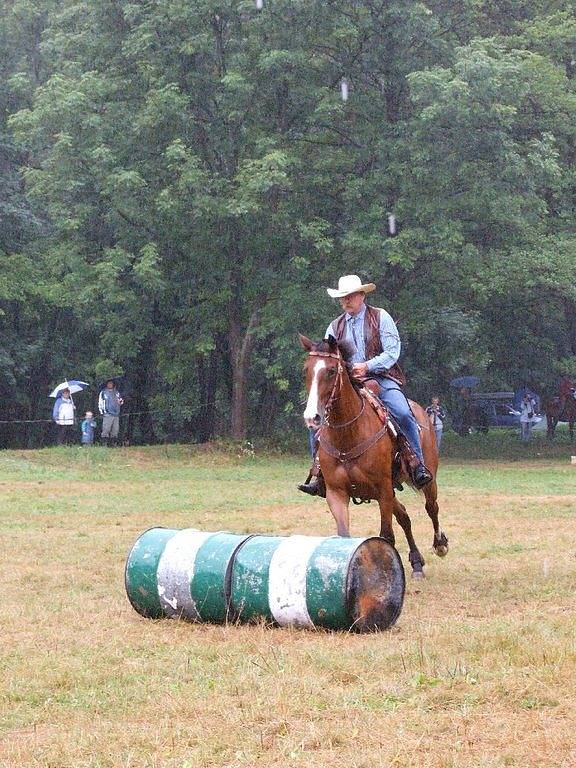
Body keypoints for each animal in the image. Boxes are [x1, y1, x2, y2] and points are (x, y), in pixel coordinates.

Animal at [302, 332, 450, 580]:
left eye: (331, 371)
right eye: (306, 369)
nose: (312, 417)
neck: (348, 435)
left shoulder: (383, 489)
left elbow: (386, 536)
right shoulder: (337, 492)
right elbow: (344, 534)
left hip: (425, 480)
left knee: (432, 507)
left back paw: (440, 544)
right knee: (404, 516)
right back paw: (416, 563)